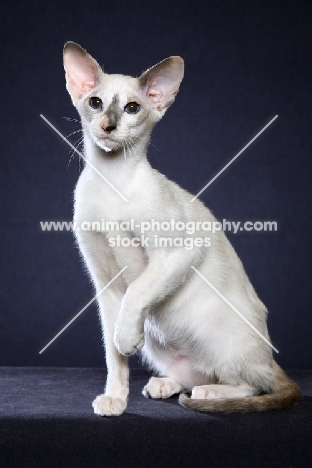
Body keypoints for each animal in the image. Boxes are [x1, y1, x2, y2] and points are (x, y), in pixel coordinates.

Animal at [62, 42, 302, 414]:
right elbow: (113, 354)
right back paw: (165, 385)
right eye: (96, 103)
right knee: (200, 374)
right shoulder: (106, 284)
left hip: (219, 336)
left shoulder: (178, 253)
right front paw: (115, 400)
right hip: (158, 342)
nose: (108, 125)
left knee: (254, 384)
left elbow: (136, 293)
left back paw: (209, 394)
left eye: (132, 108)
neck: (111, 179)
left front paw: (125, 339)